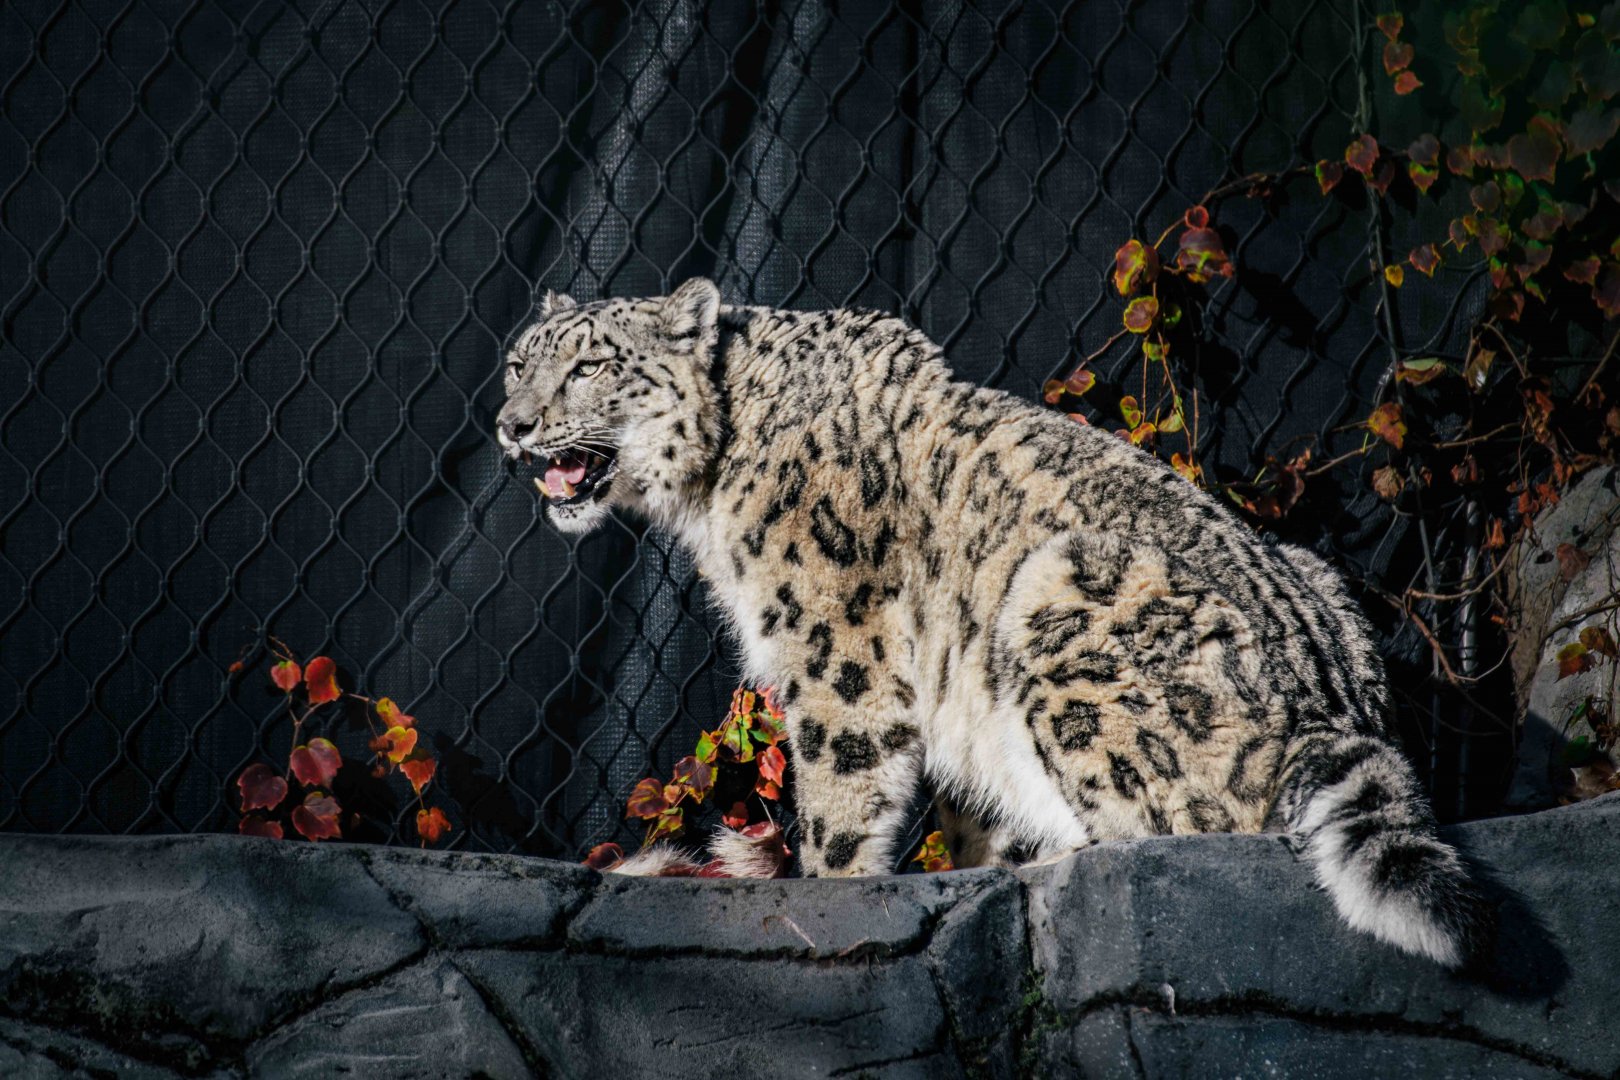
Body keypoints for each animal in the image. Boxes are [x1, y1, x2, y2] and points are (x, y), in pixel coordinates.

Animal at [495, 277, 1489, 967]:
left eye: (589, 366)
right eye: (518, 362)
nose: (513, 424)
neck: (710, 491)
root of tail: (1333, 703)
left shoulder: (834, 646)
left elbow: (842, 792)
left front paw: (833, 891)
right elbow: (976, 809)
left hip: (1059, 590)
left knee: (1190, 825)